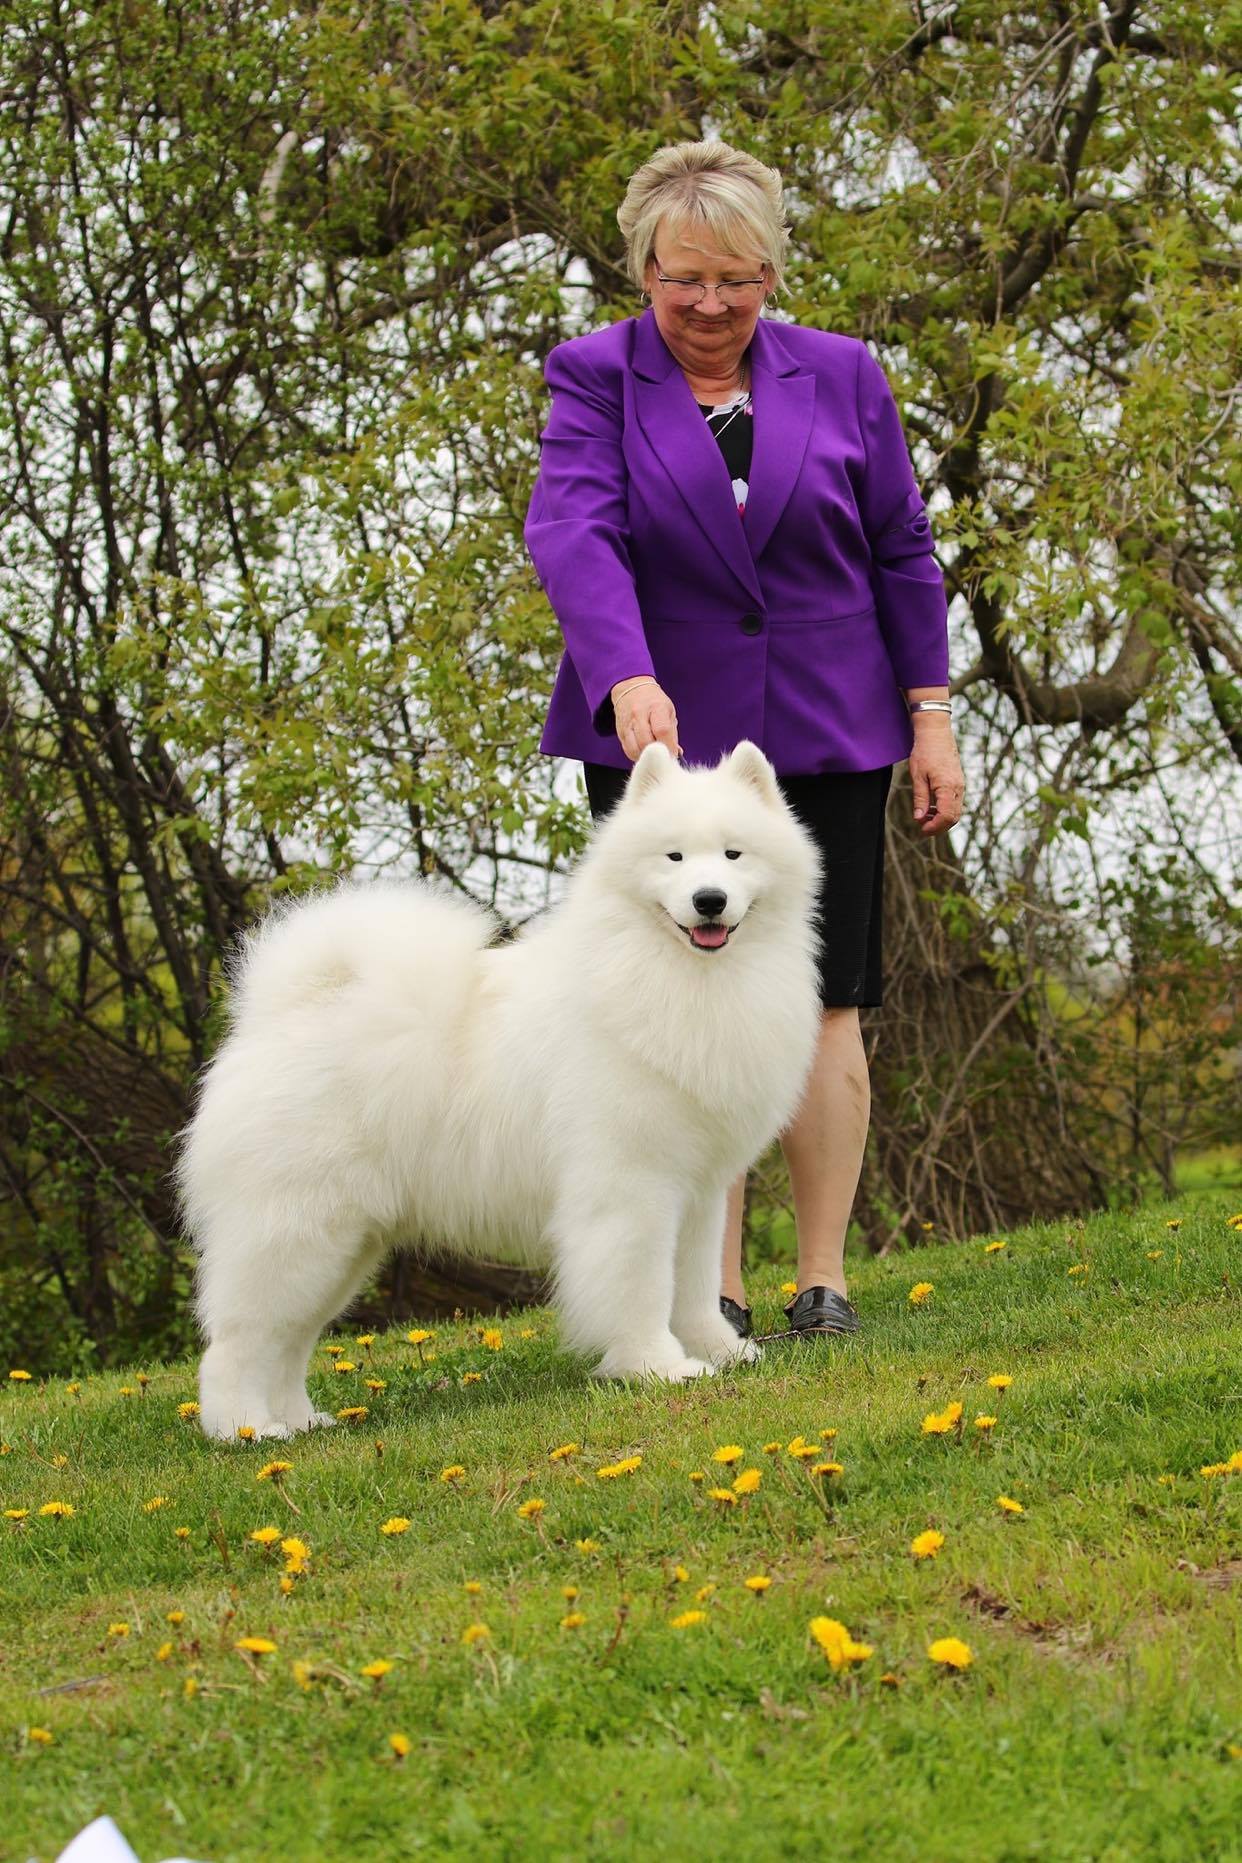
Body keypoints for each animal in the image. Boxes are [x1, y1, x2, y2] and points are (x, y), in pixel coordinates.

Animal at [175, 741, 826, 1438]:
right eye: (673, 858)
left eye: (733, 855)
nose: (709, 900)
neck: (681, 977)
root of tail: (277, 1015)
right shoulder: (631, 1187)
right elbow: (642, 1288)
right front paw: (658, 1367)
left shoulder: (700, 1191)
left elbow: (697, 1285)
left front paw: (721, 1353)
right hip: (297, 1231)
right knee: (236, 1343)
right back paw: (248, 1431)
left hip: (344, 1246)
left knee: (290, 1341)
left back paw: (303, 1421)